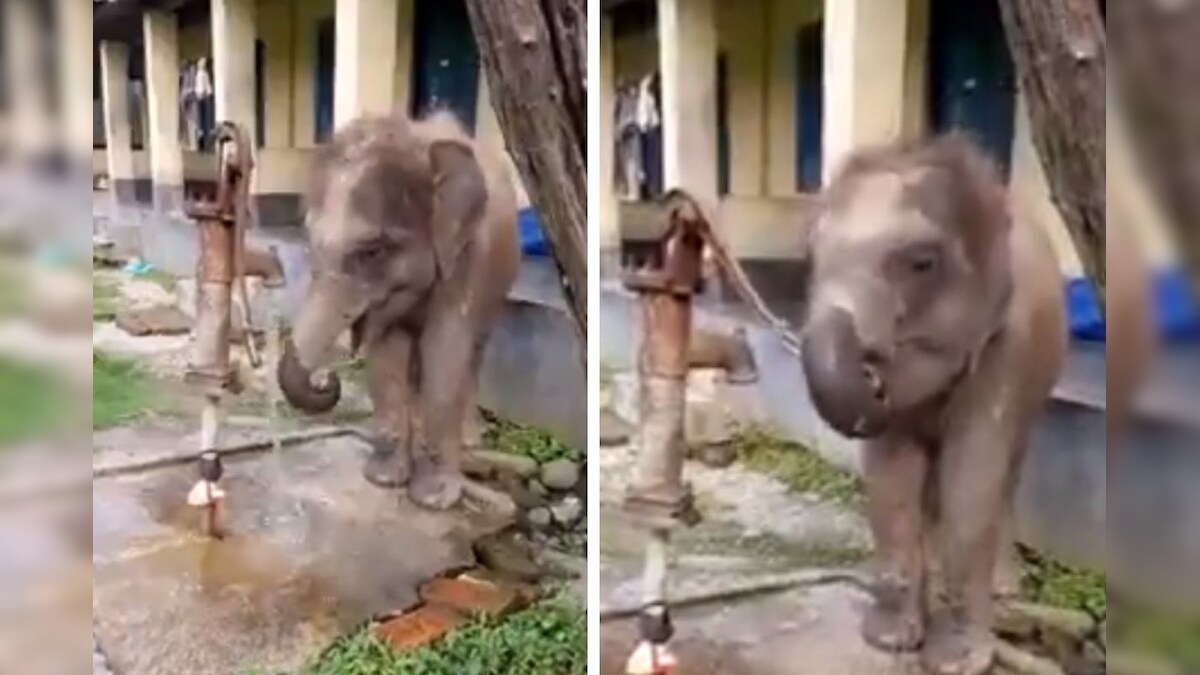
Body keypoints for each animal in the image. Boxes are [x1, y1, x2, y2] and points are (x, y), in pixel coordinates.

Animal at [280, 111, 525, 509]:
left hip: (499, 284)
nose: (326, 377)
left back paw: (470, 440)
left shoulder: (466, 257)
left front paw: (434, 499)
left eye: (372, 252)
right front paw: (384, 479)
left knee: (474, 351)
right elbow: (388, 354)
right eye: (309, 243)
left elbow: (445, 352)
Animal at [796, 133, 1070, 667]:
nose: (870, 374)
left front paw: (956, 662)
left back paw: (1005, 588)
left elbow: (972, 477)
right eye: (811, 255)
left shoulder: (1006, 346)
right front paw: (888, 639)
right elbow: (891, 476)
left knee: (1008, 472)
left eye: (922, 262)